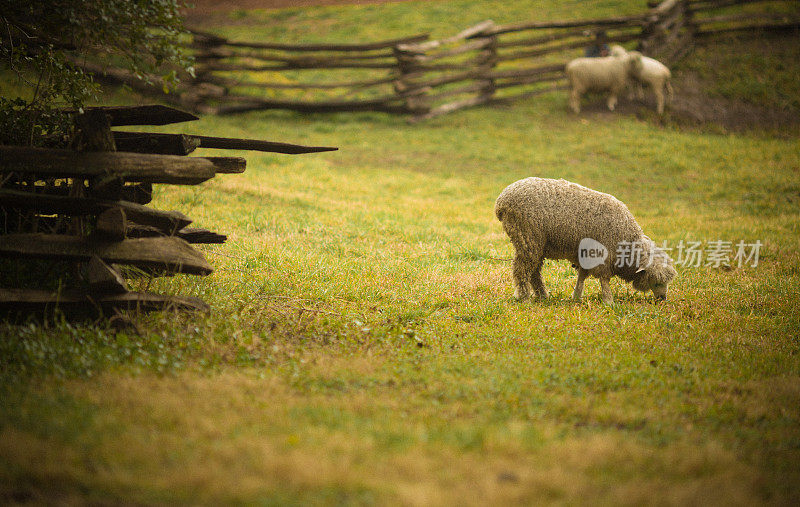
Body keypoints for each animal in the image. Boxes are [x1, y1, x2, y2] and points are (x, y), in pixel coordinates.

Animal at [494, 178, 676, 304]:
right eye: (657, 282)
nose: (663, 299)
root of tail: (501, 201)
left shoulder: (586, 254)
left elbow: (582, 276)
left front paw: (576, 296)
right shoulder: (602, 254)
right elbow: (604, 279)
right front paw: (609, 301)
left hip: (537, 243)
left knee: (534, 271)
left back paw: (542, 295)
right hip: (527, 237)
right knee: (522, 269)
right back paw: (524, 297)